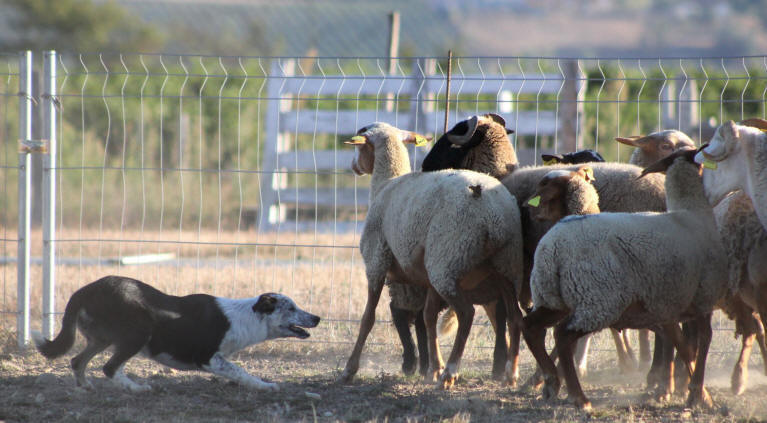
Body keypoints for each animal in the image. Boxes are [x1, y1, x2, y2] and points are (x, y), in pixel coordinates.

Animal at [32, 276, 320, 392]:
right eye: (291, 307)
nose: (317, 318)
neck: (245, 316)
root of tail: (85, 290)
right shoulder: (209, 358)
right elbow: (241, 371)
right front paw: (265, 386)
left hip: (102, 339)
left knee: (77, 361)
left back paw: (85, 386)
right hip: (138, 332)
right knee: (110, 368)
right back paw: (137, 388)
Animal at [340, 121, 528, 390]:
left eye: (360, 148)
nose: (354, 167)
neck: (387, 183)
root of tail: (493, 213)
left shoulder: (376, 262)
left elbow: (368, 318)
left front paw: (349, 369)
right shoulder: (426, 278)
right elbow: (428, 318)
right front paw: (433, 369)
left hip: (447, 260)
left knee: (467, 314)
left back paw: (450, 373)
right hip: (506, 266)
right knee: (514, 317)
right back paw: (511, 374)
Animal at [524, 148, 728, 410]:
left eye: (545, 186)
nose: (528, 207)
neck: (692, 214)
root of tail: (553, 246)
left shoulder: (668, 306)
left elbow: (682, 345)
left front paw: (688, 390)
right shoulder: (701, 300)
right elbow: (701, 343)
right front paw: (697, 394)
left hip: (554, 298)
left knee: (532, 327)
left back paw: (554, 381)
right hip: (596, 301)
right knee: (562, 334)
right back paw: (578, 396)